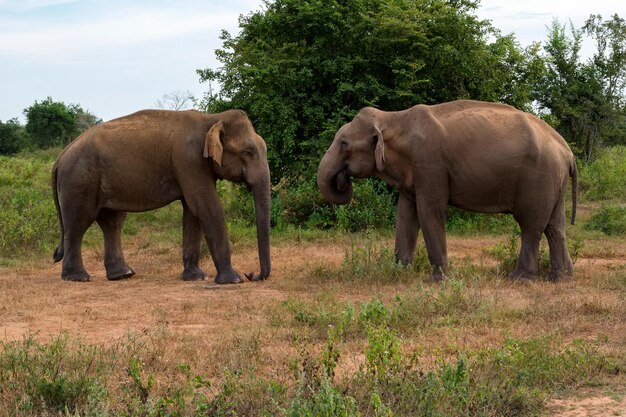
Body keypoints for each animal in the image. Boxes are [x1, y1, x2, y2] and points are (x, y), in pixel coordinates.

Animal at [51, 107, 270, 284]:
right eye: (248, 152)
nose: (252, 274)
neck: (212, 118)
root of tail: (61, 156)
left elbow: (192, 211)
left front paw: (196, 277)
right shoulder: (189, 160)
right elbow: (206, 206)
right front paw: (233, 280)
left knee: (112, 222)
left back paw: (123, 275)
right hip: (78, 180)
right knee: (78, 223)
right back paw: (78, 278)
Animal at [316, 100, 576, 282]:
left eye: (344, 144)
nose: (343, 179)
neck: (392, 117)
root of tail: (567, 150)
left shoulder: (430, 165)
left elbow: (429, 211)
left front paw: (437, 280)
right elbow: (405, 215)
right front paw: (397, 271)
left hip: (538, 177)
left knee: (531, 225)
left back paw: (520, 279)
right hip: (554, 179)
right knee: (555, 226)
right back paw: (561, 278)